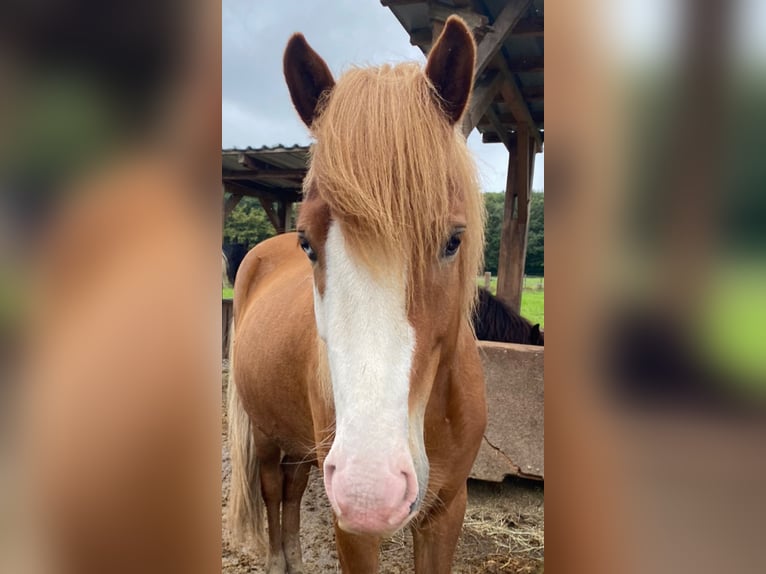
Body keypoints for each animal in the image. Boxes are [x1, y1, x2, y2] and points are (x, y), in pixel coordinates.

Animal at [227, 16, 486, 573]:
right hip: (266, 434)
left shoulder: (446, 512)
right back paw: (279, 560)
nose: (370, 490)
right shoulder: (355, 534)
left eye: (453, 239)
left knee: (294, 486)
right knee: (273, 488)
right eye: (307, 243)